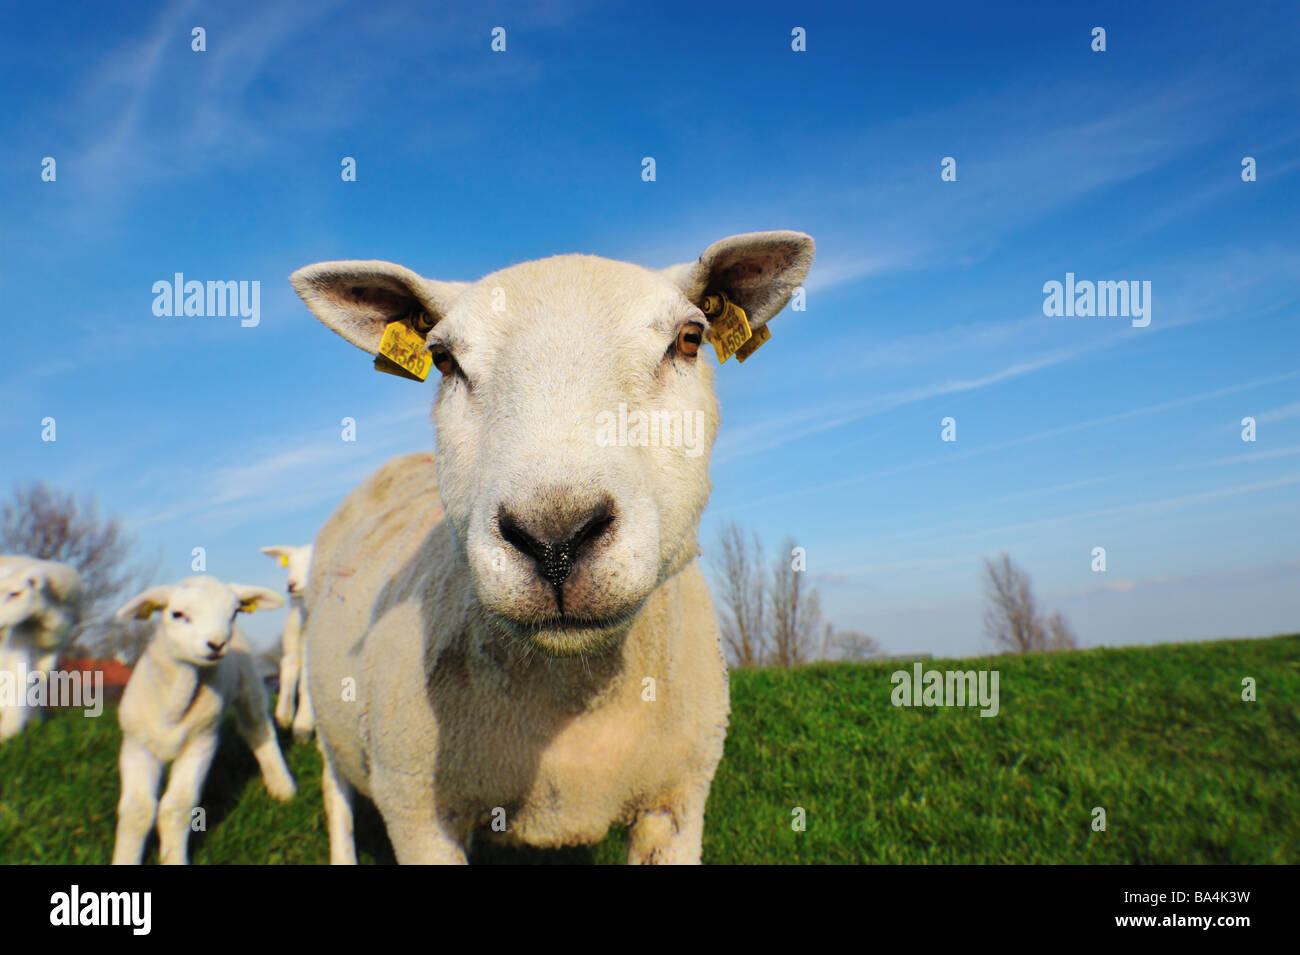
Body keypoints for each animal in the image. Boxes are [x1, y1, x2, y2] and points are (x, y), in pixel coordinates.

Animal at [0, 555, 83, 740]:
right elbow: (20, 679)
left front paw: (35, 723)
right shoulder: (18, 642)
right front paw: (7, 732)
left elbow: (39, 681)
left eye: (15, 593)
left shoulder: (53, 650)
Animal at [111, 576, 296, 865]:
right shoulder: (136, 746)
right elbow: (137, 812)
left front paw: (173, 858)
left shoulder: (201, 742)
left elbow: (176, 807)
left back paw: (282, 786)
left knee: (258, 730)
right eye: (177, 614)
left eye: (233, 614)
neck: (173, 708)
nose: (217, 644)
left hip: (249, 686)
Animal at [291, 230, 814, 864]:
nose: (555, 540)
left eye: (690, 340)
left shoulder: (678, 800)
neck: (575, 692)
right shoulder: (417, 811)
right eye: (443, 360)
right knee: (334, 789)